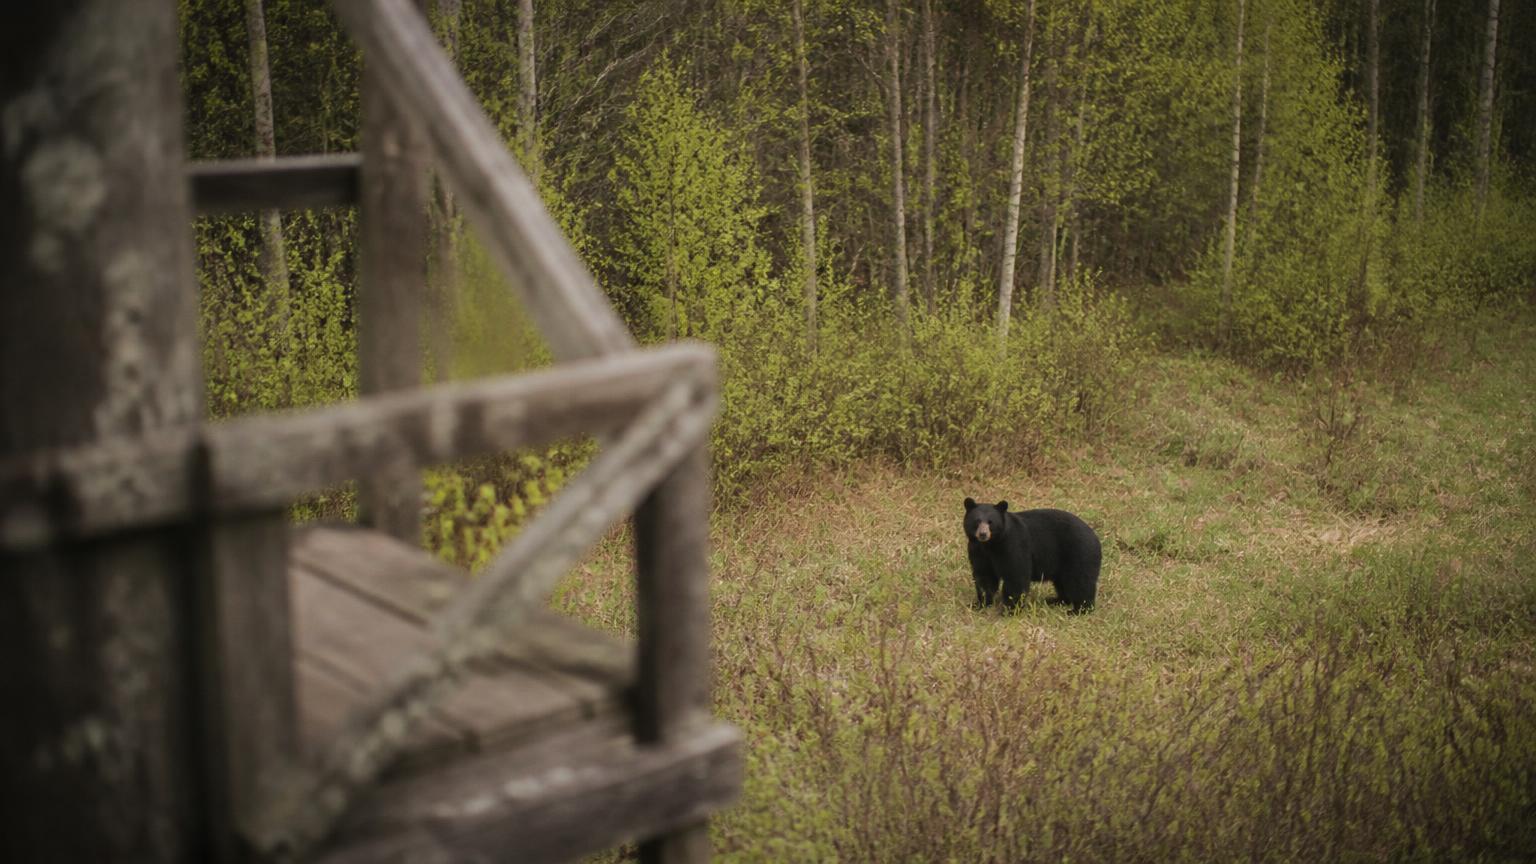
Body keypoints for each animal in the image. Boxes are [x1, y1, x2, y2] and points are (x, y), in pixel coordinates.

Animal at [963, 498, 1102, 614]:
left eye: (990, 522)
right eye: (977, 521)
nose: (983, 534)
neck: (991, 544)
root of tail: (1095, 537)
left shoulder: (1013, 545)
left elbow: (1016, 574)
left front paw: (1010, 610)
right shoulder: (978, 551)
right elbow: (984, 576)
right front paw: (979, 604)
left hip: (1080, 553)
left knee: (1081, 582)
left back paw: (1079, 610)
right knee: (1063, 582)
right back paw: (1056, 600)